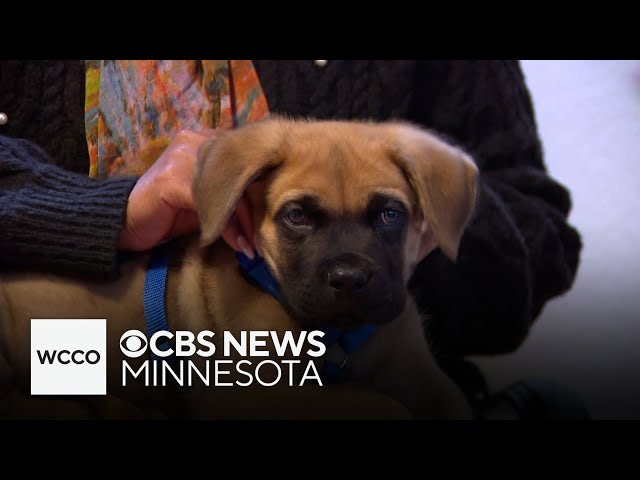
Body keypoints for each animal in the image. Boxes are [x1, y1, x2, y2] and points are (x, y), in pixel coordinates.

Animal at [0, 118, 476, 418]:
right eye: (296, 216)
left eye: (390, 215)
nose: (348, 280)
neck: (338, 338)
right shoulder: (255, 394)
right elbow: (381, 404)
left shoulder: (421, 373)